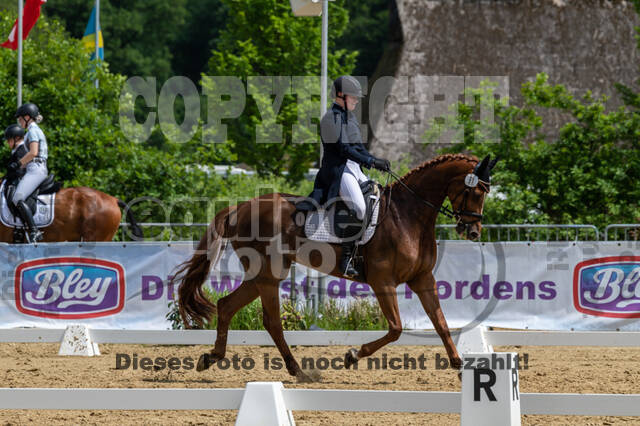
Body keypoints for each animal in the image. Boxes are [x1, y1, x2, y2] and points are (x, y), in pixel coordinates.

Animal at [173, 153, 498, 382]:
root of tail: (239, 208)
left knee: (227, 306)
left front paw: (460, 368)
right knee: (272, 321)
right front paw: (352, 355)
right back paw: (299, 372)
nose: (473, 232)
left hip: (261, 275)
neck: (407, 215)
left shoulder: (422, 279)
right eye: (475, 192)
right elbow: (395, 329)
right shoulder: (383, 283)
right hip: (269, 274)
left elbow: (441, 324)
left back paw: (211, 358)